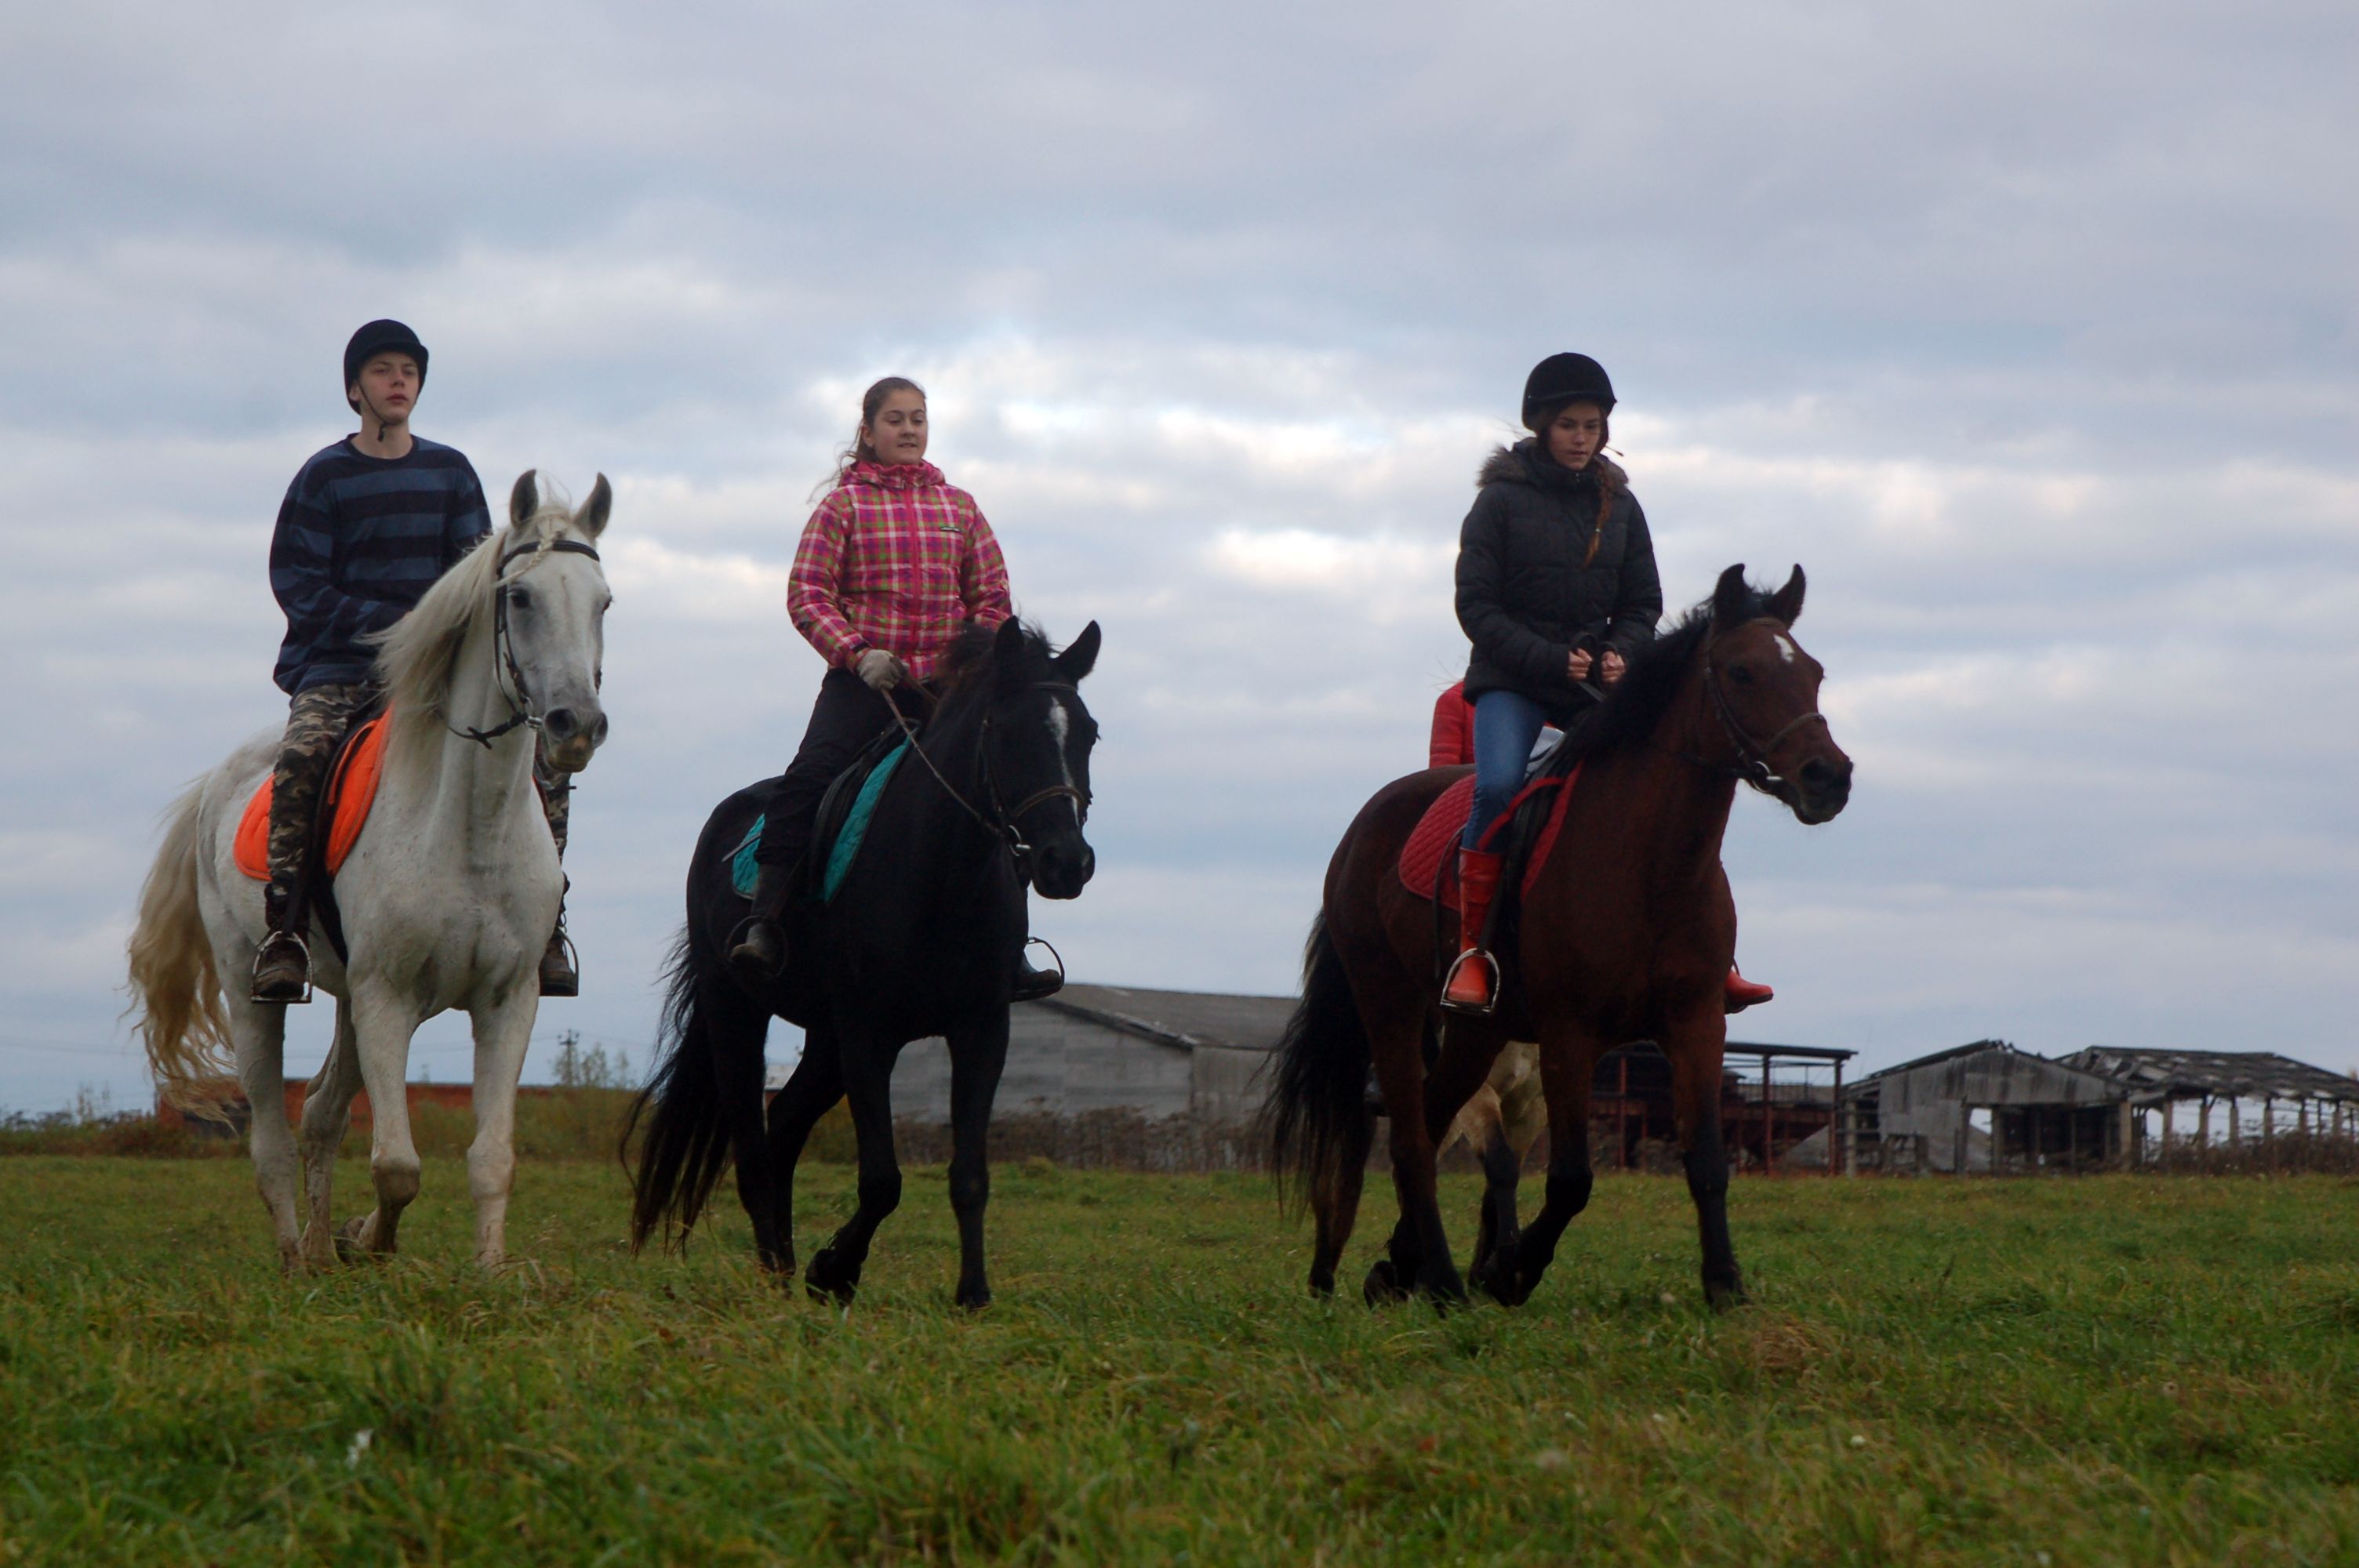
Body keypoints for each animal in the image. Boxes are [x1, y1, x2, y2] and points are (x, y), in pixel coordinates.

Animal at [127, 473, 613, 1271]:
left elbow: (492, 1158)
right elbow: (397, 1167)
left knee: (323, 1113)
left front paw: (488, 1271)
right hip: (252, 990)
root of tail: (216, 784)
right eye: (519, 597)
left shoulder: (507, 1001)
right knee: (272, 1141)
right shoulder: (388, 998)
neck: (470, 829)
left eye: (603, 601)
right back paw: (298, 1257)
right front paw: (371, 1239)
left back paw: (323, 1252)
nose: (578, 726)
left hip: (350, 1001)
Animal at [627, 616, 1101, 1309]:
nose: (1068, 863)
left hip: (825, 1043)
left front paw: (973, 1294)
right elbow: (882, 1179)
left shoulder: (983, 1029)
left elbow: (970, 1173)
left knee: (783, 1128)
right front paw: (835, 1272)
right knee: (752, 1148)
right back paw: (775, 1274)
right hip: (736, 1011)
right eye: (1008, 732)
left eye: (1089, 733)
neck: (941, 874)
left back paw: (784, 1264)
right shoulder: (868, 1034)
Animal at [1266, 564, 1851, 1310]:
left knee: (1429, 1117)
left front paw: (1725, 1287)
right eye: (1741, 671)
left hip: (1476, 1032)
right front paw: (1510, 1272)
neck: (1649, 865)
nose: (1828, 778)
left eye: (1814, 672)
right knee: (1411, 1142)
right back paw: (1445, 1281)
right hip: (1389, 1003)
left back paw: (1400, 1269)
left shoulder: (1696, 1023)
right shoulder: (1570, 1034)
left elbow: (1707, 1163)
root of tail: (1366, 824)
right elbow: (1570, 1178)